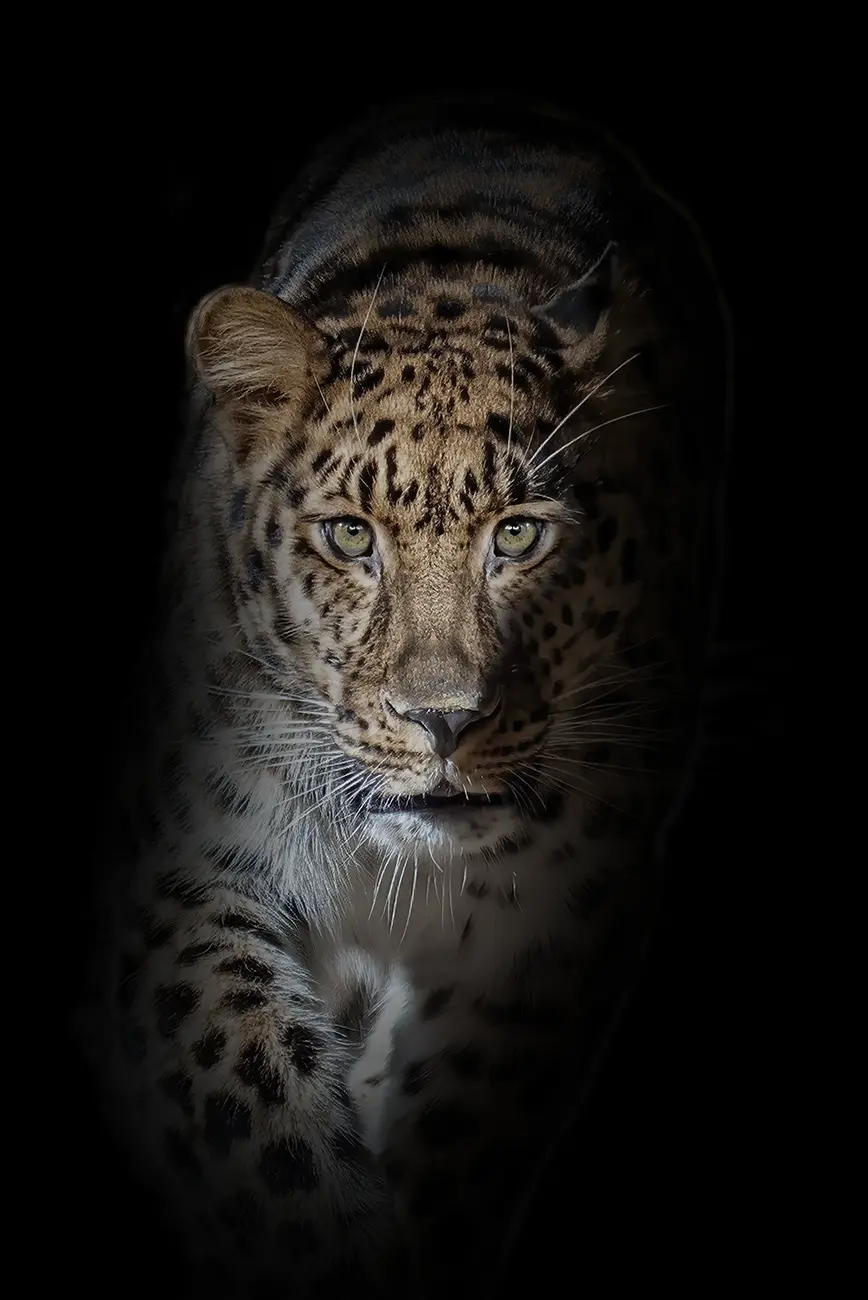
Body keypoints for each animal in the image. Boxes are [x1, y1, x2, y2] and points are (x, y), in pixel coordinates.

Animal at [80, 96, 728, 1298]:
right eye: (349, 537)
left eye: (518, 537)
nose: (445, 720)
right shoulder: (173, 873)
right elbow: (259, 1118)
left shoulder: (552, 921)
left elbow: (460, 1125)